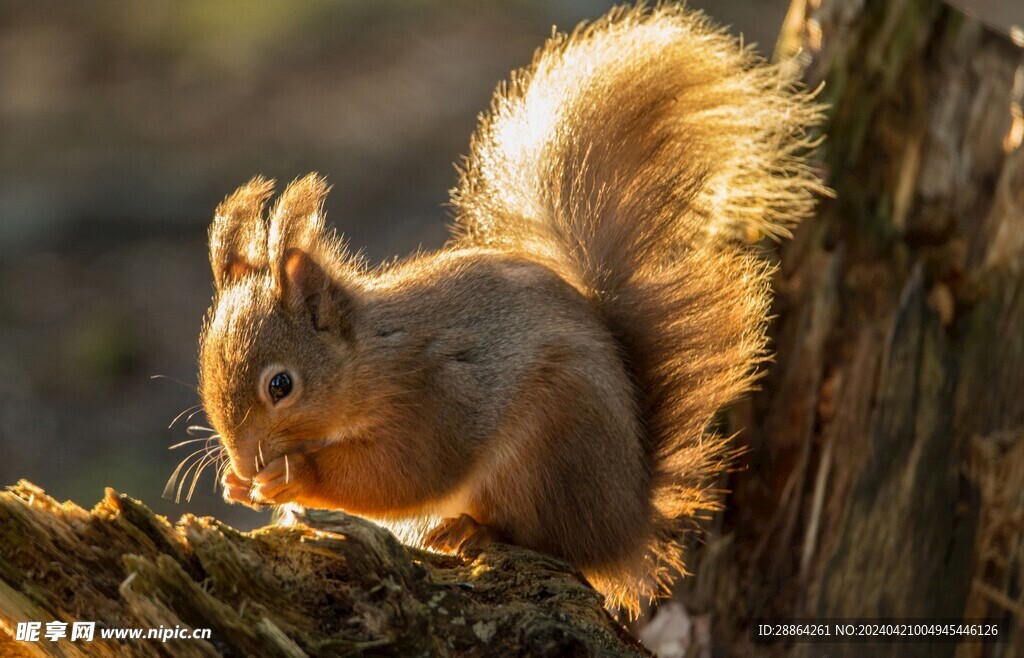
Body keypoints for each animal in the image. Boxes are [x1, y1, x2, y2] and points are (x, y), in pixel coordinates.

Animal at [193, 3, 823, 618]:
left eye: (281, 386)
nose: (245, 462)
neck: (371, 357)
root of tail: (628, 521)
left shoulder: (437, 394)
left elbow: (402, 473)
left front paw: (292, 476)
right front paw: (236, 485)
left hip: (549, 447)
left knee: (548, 540)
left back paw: (474, 531)